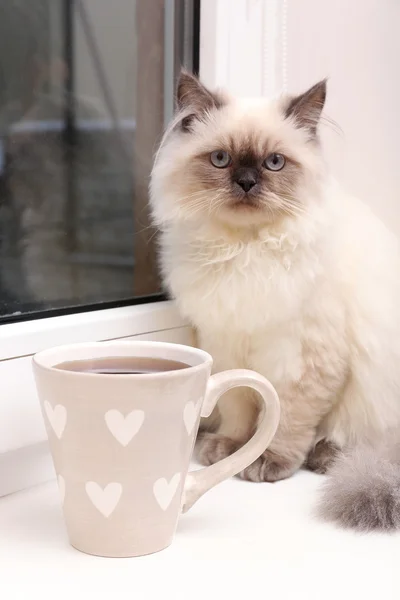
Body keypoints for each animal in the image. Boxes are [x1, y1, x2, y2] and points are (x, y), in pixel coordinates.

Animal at [149, 70, 400, 528]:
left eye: (274, 163)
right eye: (221, 159)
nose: (247, 183)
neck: (246, 252)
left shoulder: (303, 358)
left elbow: (286, 418)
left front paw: (267, 461)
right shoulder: (227, 345)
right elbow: (238, 406)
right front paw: (228, 448)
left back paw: (325, 457)